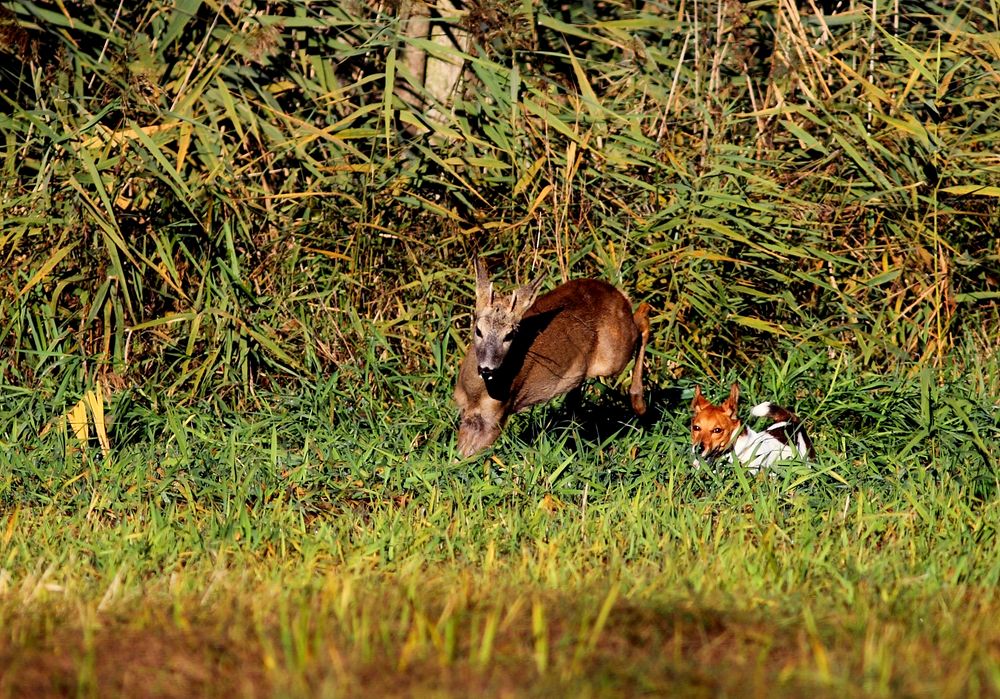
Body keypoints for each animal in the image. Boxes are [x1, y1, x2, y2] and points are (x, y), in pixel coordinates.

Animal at [452, 260, 648, 456]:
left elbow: (468, 459)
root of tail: (617, 293)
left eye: (509, 335)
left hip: (613, 358)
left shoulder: (496, 417)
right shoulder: (466, 413)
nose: (487, 368)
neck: (476, 394)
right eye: (478, 330)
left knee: (642, 320)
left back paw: (639, 403)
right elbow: (456, 457)